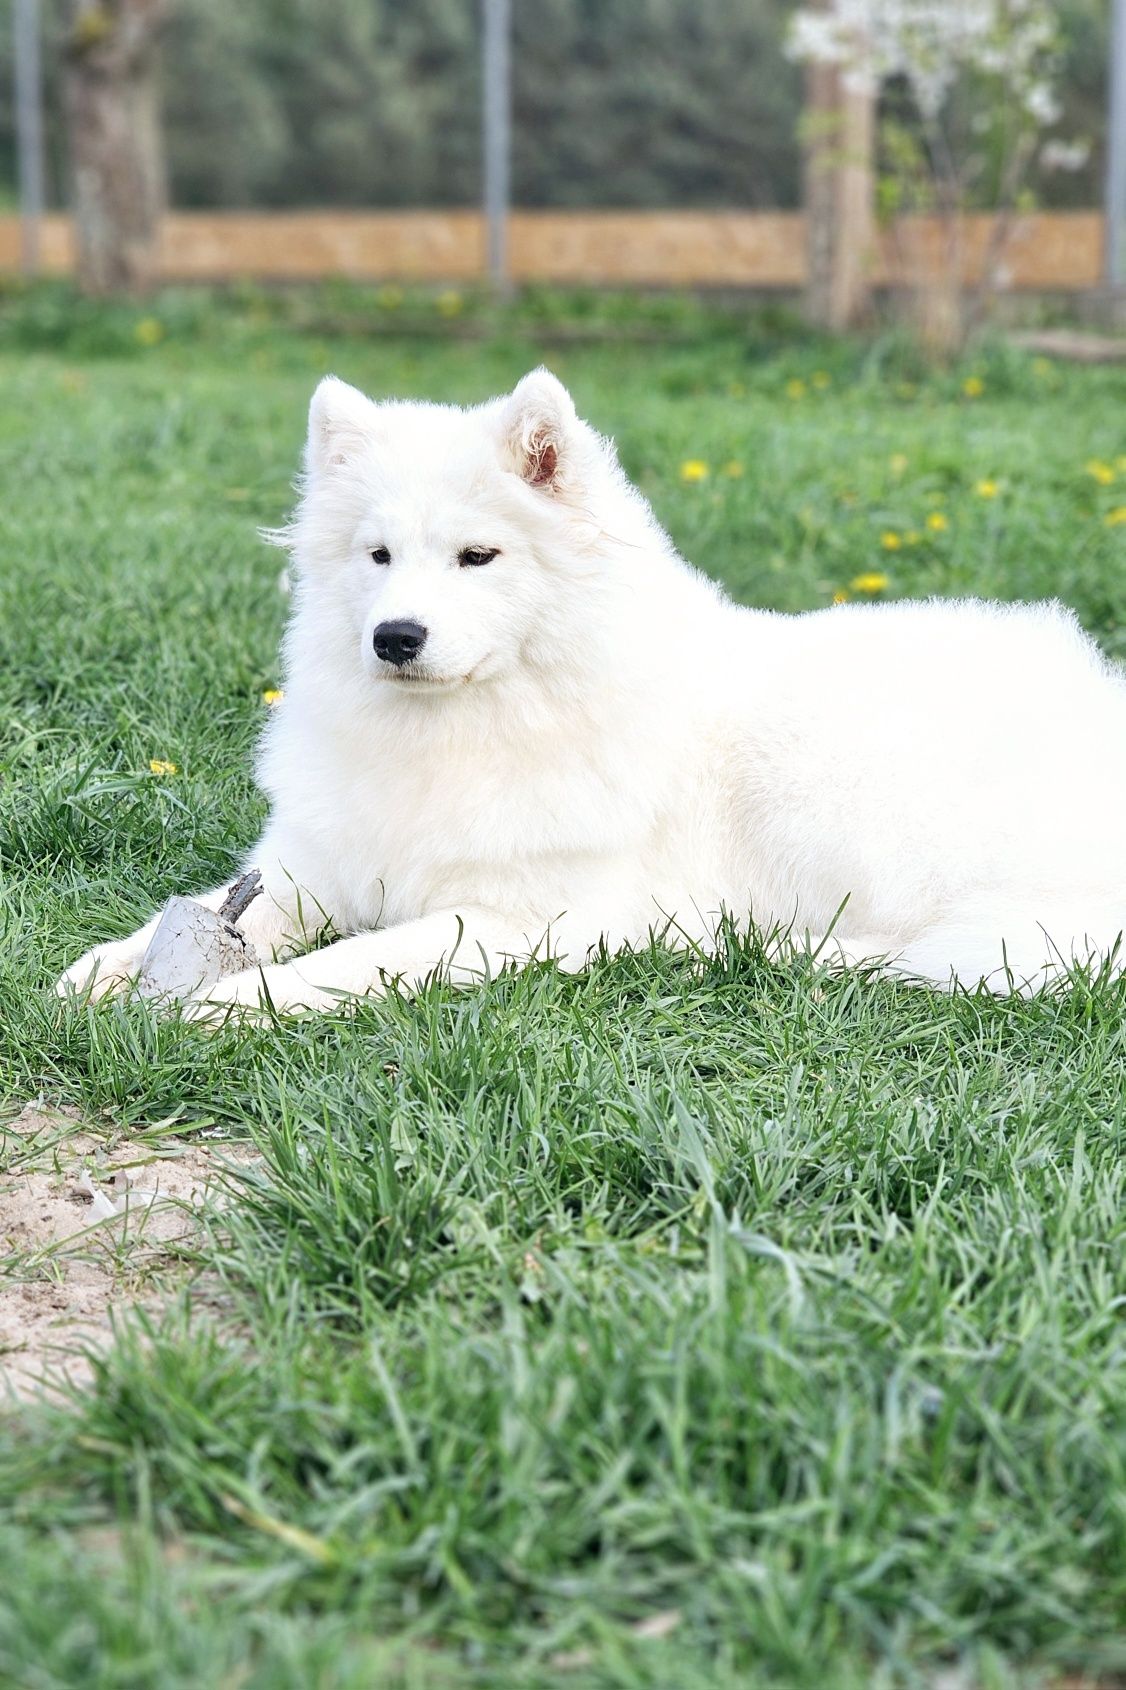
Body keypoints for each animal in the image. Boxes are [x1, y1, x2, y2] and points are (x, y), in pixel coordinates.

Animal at [57, 370, 1122, 1007]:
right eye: (378, 555)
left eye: (477, 557)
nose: (395, 638)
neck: (466, 731)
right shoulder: (313, 866)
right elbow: (204, 911)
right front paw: (108, 969)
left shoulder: (512, 919)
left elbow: (349, 962)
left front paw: (223, 1004)